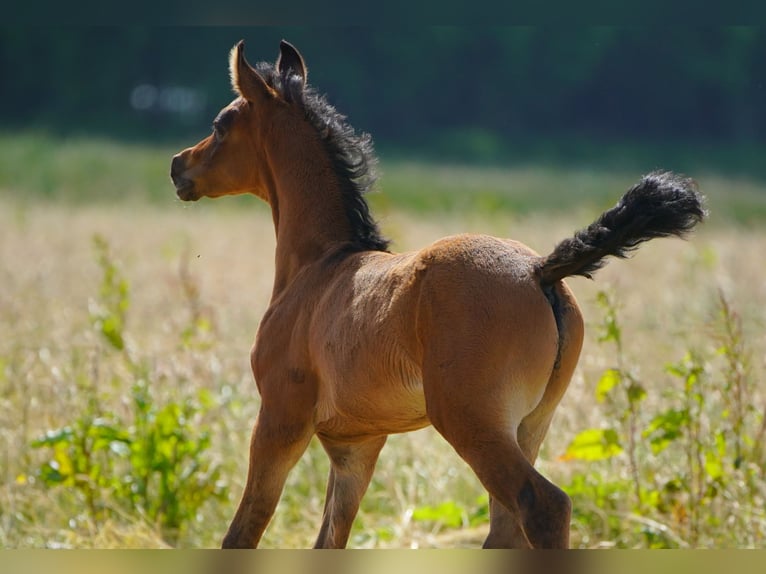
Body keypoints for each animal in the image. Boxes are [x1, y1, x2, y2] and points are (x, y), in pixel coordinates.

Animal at [170, 38, 708, 552]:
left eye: (221, 124)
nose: (178, 166)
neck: (318, 267)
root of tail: (539, 272)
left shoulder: (281, 417)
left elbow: (244, 531)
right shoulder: (357, 444)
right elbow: (329, 540)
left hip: (471, 422)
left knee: (543, 505)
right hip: (530, 425)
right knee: (506, 529)